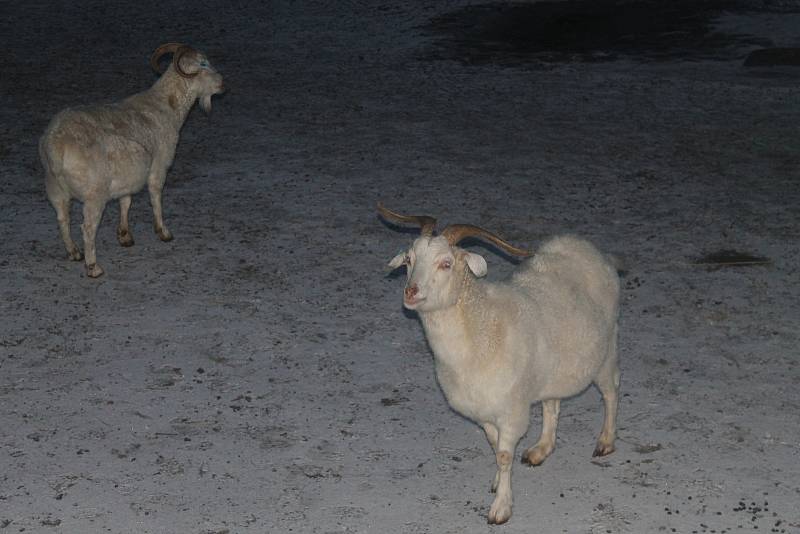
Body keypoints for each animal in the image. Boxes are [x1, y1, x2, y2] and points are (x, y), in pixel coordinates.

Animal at [39, 42, 223, 278]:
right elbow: (155, 197)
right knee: (87, 228)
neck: (167, 105)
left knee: (63, 219)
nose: (222, 84)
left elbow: (125, 202)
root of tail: (56, 145)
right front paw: (163, 232)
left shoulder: (128, 176)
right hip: (94, 194)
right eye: (203, 63)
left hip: (55, 189)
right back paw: (93, 267)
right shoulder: (159, 166)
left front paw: (125, 235)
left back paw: (74, 252)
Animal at [378, 205, 620, 528]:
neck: (479, 328)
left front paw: (501, 508)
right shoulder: (485, 412)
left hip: (606, 351)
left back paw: (605, 441)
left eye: (445, 264)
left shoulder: (511, 411)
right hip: (552, 370)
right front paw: (496, 482)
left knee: (611, 391)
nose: (411, 292)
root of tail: (587, 248)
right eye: (408, 260)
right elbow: (495, 448)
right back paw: (541, 449)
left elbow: (504, 456)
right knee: (552, 404)